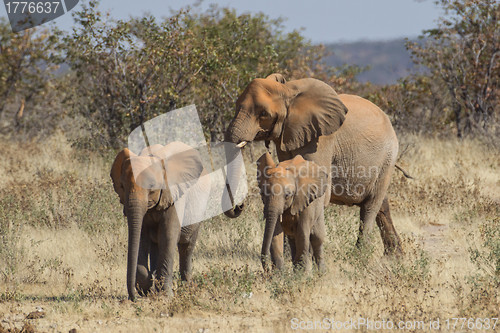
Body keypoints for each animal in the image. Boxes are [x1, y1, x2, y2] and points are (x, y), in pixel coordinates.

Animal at [109, 141, 211, 300]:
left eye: (151, 187)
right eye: (122, 186)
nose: (133, 298)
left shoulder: (174, 194)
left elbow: (168, 235)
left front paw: (165, 296)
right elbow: (141, 237)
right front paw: (146, 289)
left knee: (186, 245)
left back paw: (187, 287)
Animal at [223, 74, 402, 268]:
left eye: (263, 114)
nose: (240, 206)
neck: (288, 90)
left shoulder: (321, 138)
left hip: (387, 157)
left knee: (370, 206)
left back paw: (359, 258)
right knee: (382, 205)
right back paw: (394, 256)